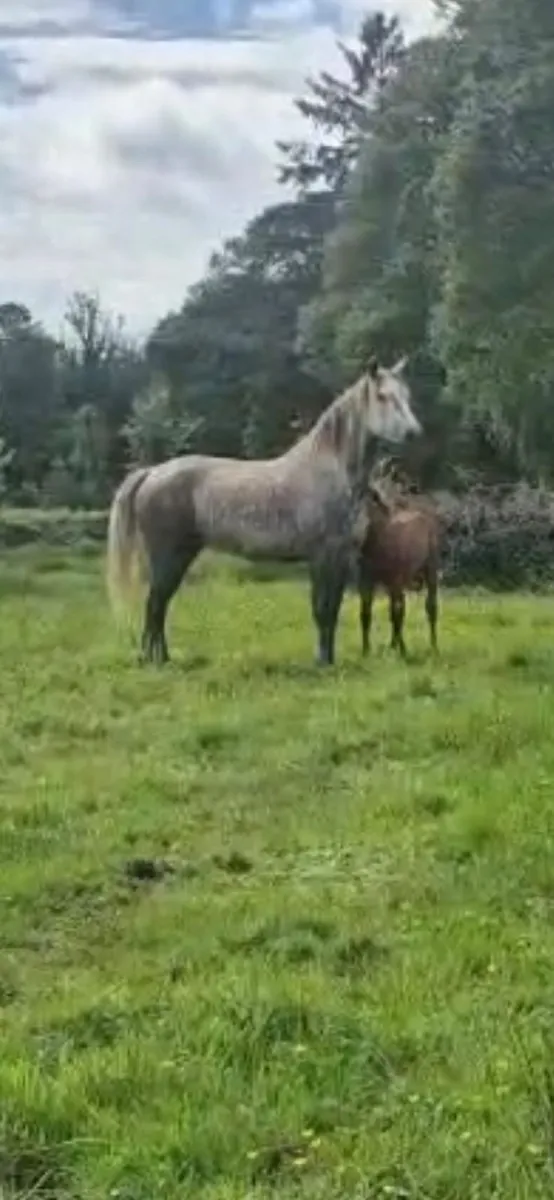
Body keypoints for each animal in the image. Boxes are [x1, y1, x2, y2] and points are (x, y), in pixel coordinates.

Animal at [106, 356, 422, 667]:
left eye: (407, 396)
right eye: (383, 396)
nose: (413, 433)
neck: (330, 471)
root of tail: (153, 472)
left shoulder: (342, 558)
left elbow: (332, 610)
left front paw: (329, 660)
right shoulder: (322, 556)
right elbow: (321, 609)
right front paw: (322, 663)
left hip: (181, 555)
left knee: (159, 605)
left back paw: (160, 658)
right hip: (168, 557)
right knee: (155, 604)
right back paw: (156, 660)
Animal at [357, 475, 440, 659]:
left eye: (372, 498)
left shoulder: (396, 581)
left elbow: (397, 614)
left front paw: (401, 649)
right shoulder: (366, 582)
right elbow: (366, 613)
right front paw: (366, 651)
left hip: (430, 569)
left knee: (430, 606)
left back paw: (433, 647)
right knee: (398, 608)